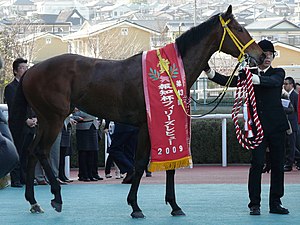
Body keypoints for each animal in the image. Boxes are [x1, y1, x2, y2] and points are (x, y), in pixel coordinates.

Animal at [8, 5, 262, 218]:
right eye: (239, 29)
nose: (260, 55)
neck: (168, 71)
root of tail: (30, 72)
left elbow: (168, 165)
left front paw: (174, 205)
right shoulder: (147, 126)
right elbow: (139, 164)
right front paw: (135, 206)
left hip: (43, 118)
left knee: (31, 151)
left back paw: (33, 201)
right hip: (54, 118)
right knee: (41, 151)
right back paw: (56, 197)